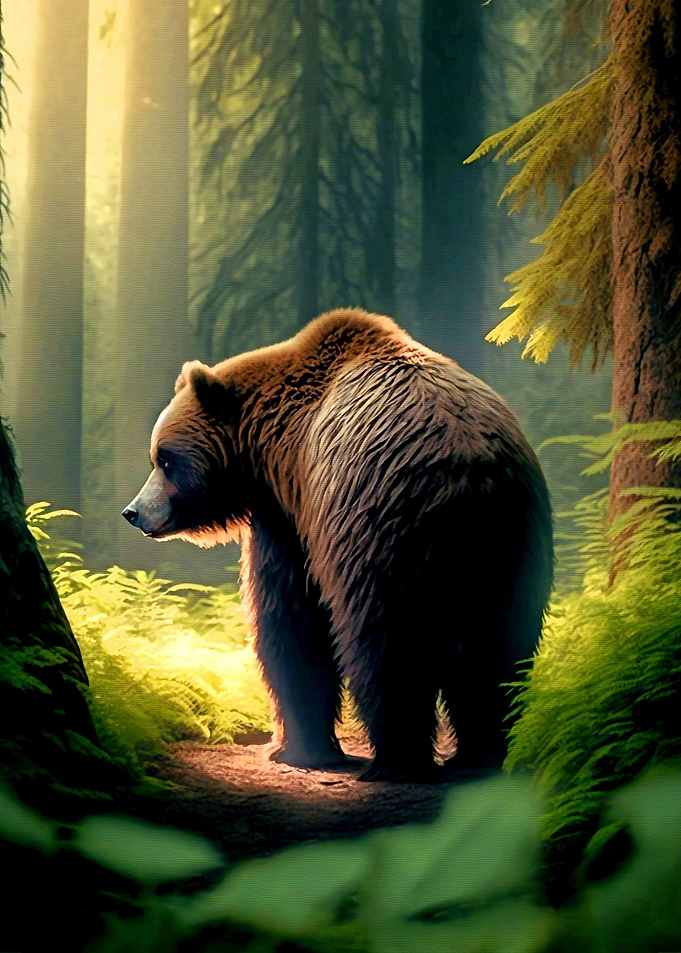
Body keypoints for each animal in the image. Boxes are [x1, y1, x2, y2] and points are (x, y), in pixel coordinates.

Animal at [123, 308, 554, 783]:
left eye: (165, 459)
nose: (133, 512)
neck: (269, 446)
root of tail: (468, 475)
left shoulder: (296, 510)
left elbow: (290, 618)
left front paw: (294, 749)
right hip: (512, 542)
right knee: (499, 648)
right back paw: (481, 754)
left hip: (381, 531)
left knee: (384, 644)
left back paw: (396, 760)